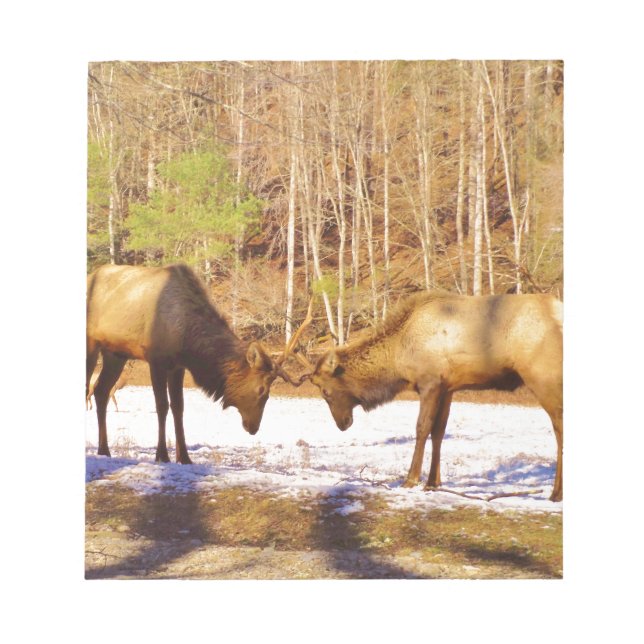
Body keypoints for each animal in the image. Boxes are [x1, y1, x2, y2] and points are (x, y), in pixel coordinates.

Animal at [86, 264, 307, 464]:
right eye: (262, 390)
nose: (253, 428)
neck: (188, 343)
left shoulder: (177, 366)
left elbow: (178, 407)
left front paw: (184, 457)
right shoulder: (156, 360)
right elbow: (162, 406)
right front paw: (162, 455)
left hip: (115, 353)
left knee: (101, 391)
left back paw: (104, 450)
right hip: (92, 345)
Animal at [298, 291, 563, 502]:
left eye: (325, 391)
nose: (342, 424)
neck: (398, 357)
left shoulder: (430, 383)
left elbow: (422, 427)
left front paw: (411, 479)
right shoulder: (448, 387)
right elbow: (439, 432)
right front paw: (433, 482)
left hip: (542, 376)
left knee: (559, 426)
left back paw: (555, 493)